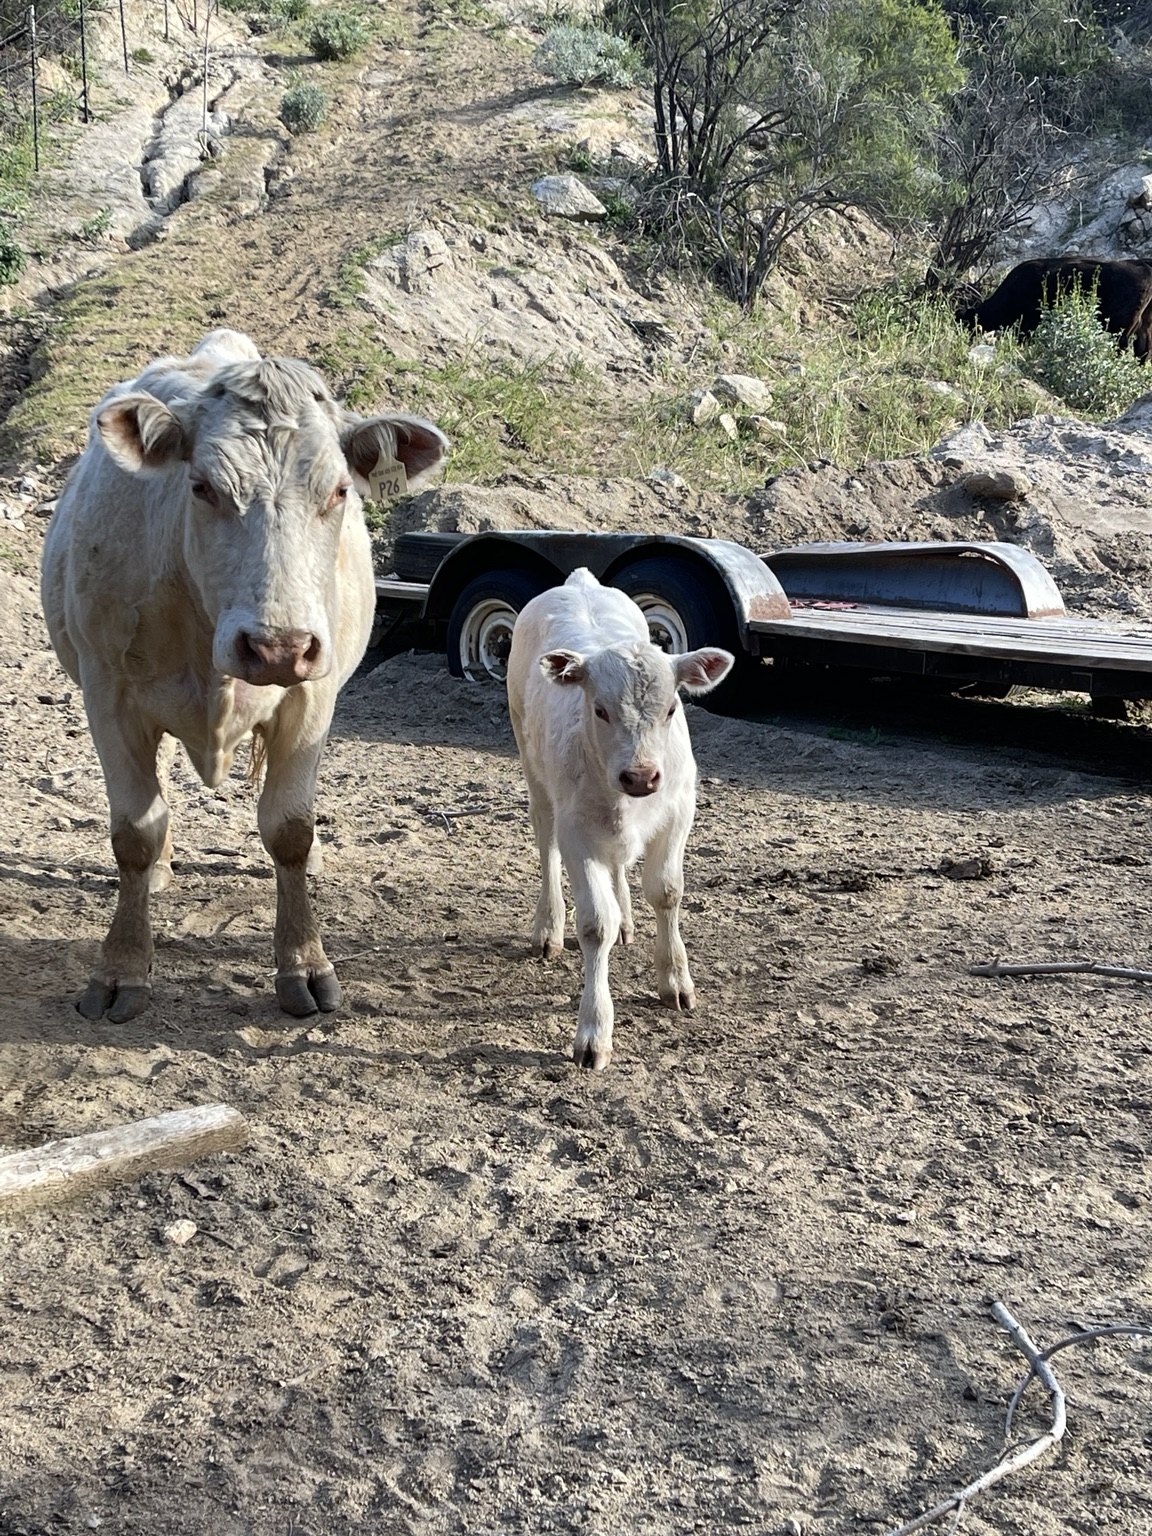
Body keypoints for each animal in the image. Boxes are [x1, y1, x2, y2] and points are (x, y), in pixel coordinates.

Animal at [41, 330, 449, 1023]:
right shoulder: (108, 694)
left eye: (340, 490)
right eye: (203, 486)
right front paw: (121, 967)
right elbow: (134, 830)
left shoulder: (311, 697)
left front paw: (304, 964)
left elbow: (289, 830)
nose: (278, 646)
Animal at [506, 568, 734, 1071]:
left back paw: (627, 919)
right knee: (546, 845)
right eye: (599, 709)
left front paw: (675, 980)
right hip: (535, 772)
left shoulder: (677, 811)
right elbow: (595, 924)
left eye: (672, 708)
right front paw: (594, 1032)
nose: (641, 775)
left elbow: (666, 892)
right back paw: (548, 928)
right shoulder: (577, 829)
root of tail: (580, 582)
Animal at [958, 257, 1152, 358]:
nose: (965, 340)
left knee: (1123, 347)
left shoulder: (1028, 323)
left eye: (967, 323)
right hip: (1143, 325)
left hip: (1121, 327)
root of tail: (1143, 266)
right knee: (1144, 349)